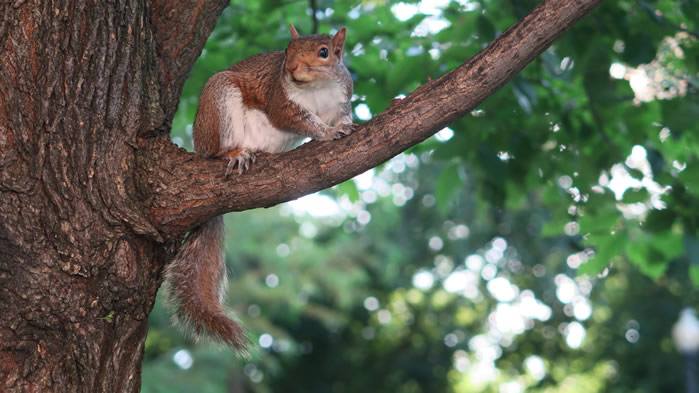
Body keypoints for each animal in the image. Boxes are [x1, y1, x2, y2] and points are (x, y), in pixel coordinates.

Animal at [161, 25, 352, 352]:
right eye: (287, 49)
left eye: (325, 52)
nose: (291, 68)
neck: (317, 87)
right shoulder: (282, 102)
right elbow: (304, 121)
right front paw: (327, 133)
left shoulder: (342, 97)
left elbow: (342, 115)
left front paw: (346, 125)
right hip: (219, 102)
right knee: (216, 152)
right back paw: (235, 154)